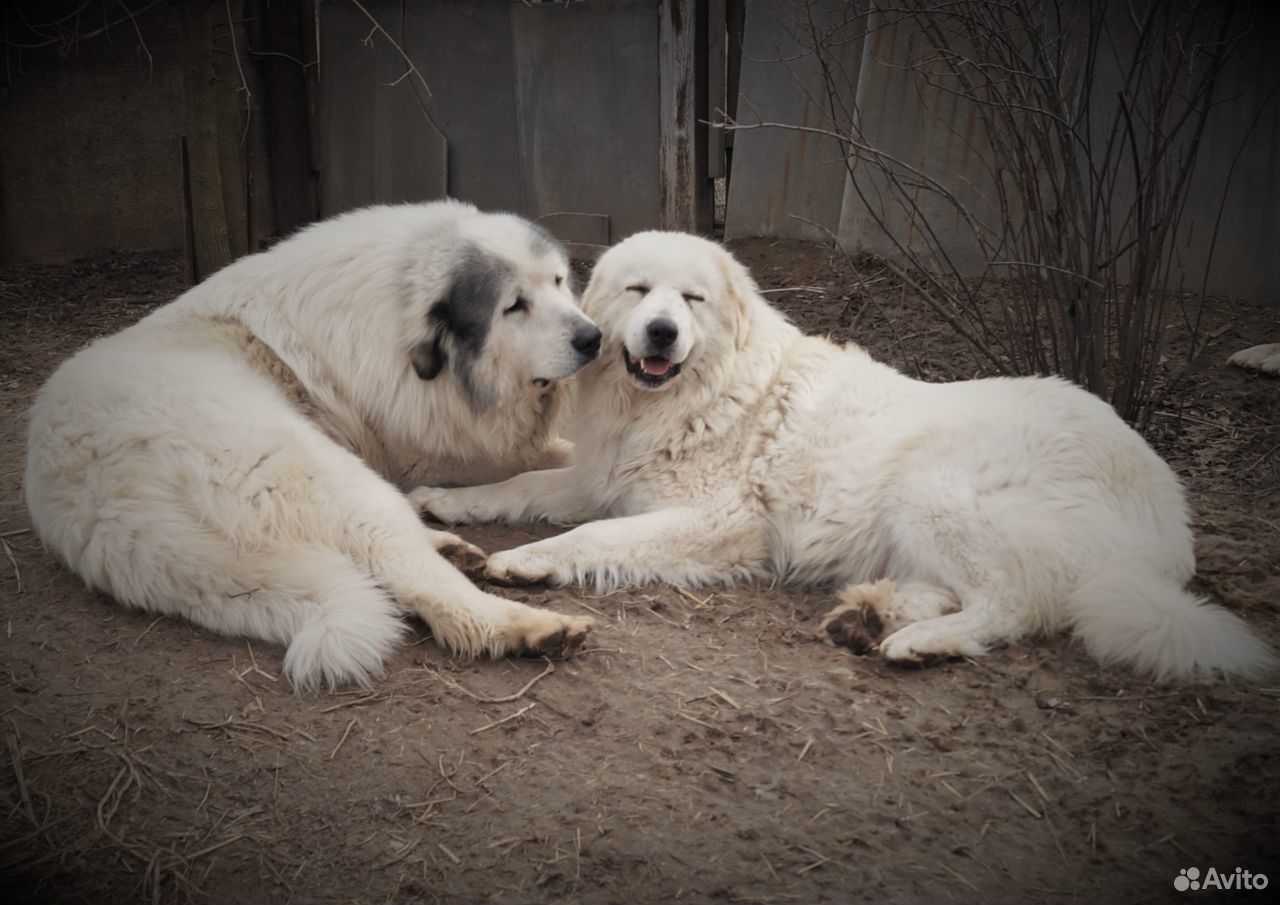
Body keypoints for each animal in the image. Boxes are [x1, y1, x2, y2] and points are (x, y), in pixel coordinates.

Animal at [24, 202, 593, 691]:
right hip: (325, 473)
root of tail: (96, 493)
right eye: (513, 306)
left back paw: (452, 551)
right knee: (413, 575)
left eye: (559, 282)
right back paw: (524, 626)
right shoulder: (430, 453)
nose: (593, 339)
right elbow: (549, 458)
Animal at [414, 231, 1274, 680]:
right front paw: (446, 503)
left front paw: (526, 562)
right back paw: (874, 613)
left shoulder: (715, 523)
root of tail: (1167, 518)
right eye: (636, 290)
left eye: (691, 300)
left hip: (934, 485)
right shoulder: (603, 477)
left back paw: (916, 640)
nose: (661, 332)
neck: (689, 394)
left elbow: (590, 536)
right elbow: (525, 483)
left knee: (1014, 604)